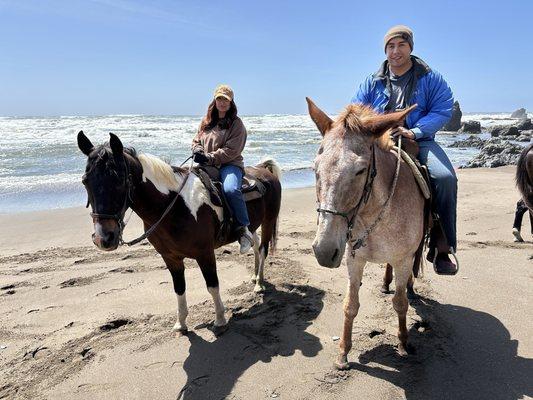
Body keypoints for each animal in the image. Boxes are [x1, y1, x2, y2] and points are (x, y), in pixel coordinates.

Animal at [78, 130, 282, 334]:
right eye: (85, 181)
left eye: (120, 181)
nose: (103, 238)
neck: (175, 206)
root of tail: (263, 170)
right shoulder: (170, 257)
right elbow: (179, 288)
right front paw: (181, 323)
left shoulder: (205, 253)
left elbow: (212, 285)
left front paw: (220, 319)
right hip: (253, 226)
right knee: (255, 245)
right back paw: (255, 276)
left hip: (268, 222)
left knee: (263, 249)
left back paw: (259, 284)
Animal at [308, 98, 424, 368]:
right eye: (315, 168)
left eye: (360, 170)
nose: (324, 251)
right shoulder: (354, 259)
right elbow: (350, 305)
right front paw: (343, 352)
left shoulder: (403, 260)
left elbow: (400, 304)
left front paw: (403, 343)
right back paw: (385, 283)